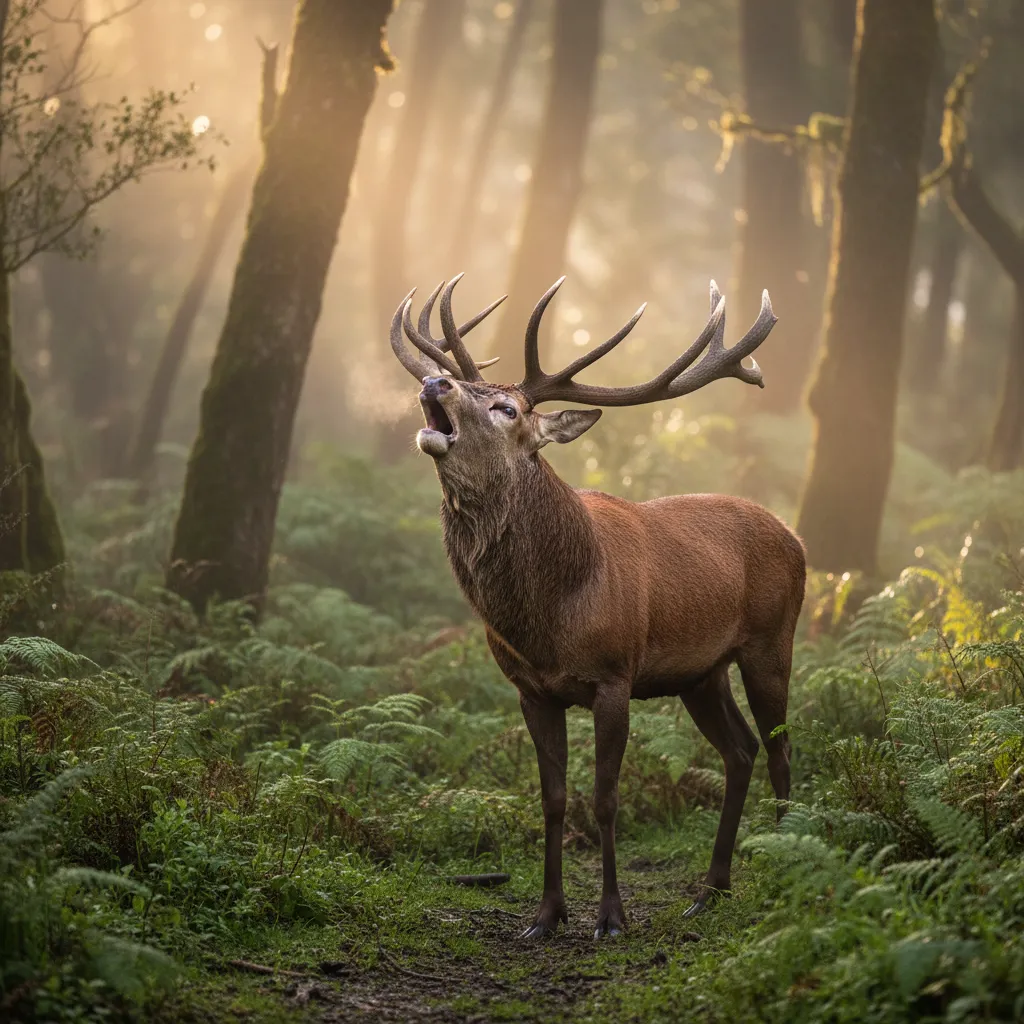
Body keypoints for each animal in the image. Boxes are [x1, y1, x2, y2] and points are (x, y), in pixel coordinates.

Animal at [388, 274, 806, 940]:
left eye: (507, 409)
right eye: (459, 385)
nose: (435, 382)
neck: (553, 618)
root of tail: (796, 538)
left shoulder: (615, 676)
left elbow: (607, 799)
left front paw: (610, 916)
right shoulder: (531, 690)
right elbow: (554, 799)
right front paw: (546, 915)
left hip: (772, 641)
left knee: (780, 749)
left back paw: (786, 863)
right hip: (700, 673)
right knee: (739, 751)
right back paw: (712, 888)